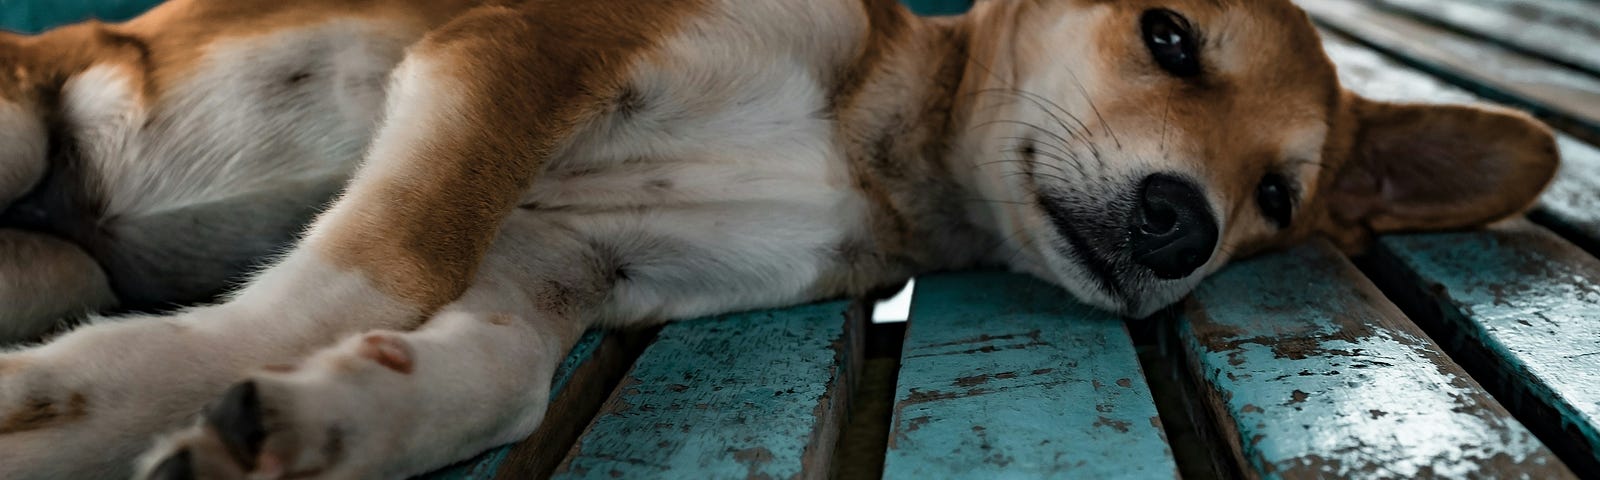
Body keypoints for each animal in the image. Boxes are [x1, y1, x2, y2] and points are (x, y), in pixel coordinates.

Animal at [0, 0, 1561, 476]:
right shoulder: (513, 53)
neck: (876, 149)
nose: (1185, 224)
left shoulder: (562, 271)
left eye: (1278, 199)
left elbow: (490, 379)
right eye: (1167, 35)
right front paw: (91, 390)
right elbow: (373, 264)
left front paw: (318, 426)